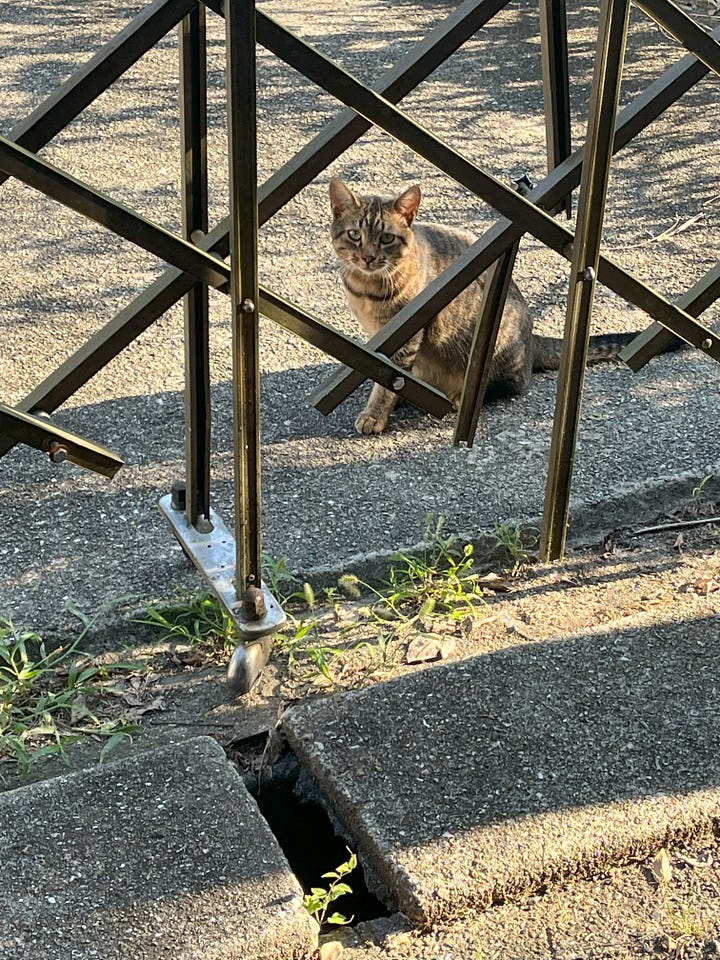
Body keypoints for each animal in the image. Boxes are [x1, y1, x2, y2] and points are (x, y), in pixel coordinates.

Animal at [330, 176, 672, 436]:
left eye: (387, 238)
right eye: (355, 234)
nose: (368, 257)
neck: (367, 289)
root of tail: (532, 339)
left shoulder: (405, 333)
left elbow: (388, 380)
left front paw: (376, 412)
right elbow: (386, 372)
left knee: (509, 384)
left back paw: (459, 394)